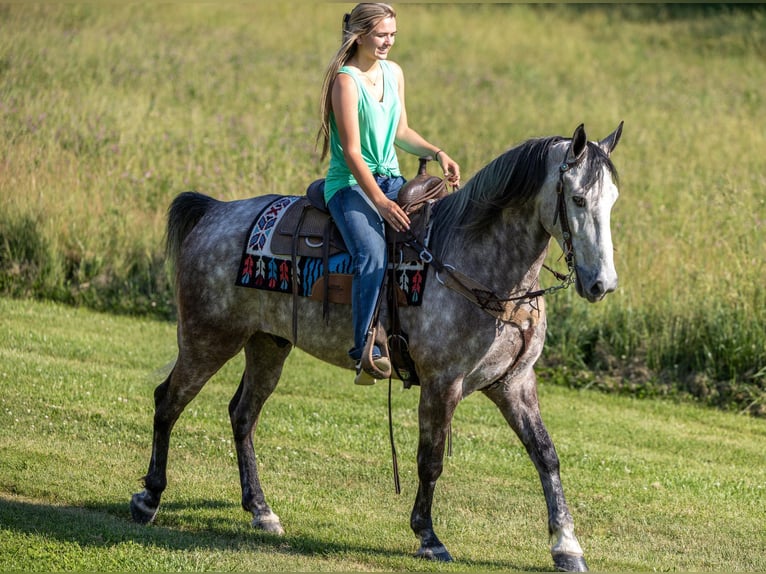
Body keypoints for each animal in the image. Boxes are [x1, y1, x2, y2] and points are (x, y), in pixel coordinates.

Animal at [130, 121, 624, 572]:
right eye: (577, 199)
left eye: (612, 201)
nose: (602, 284)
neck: (475, 263)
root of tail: (213, 212)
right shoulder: (442, 383)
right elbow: (430, 460)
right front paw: (428, 537)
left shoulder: (514, 383)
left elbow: (546, 456)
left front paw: (566, 546)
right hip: (208, 337)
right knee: (169, 400)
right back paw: (149, 497)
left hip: (268, 345)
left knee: (242, 415)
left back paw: (261, 510)